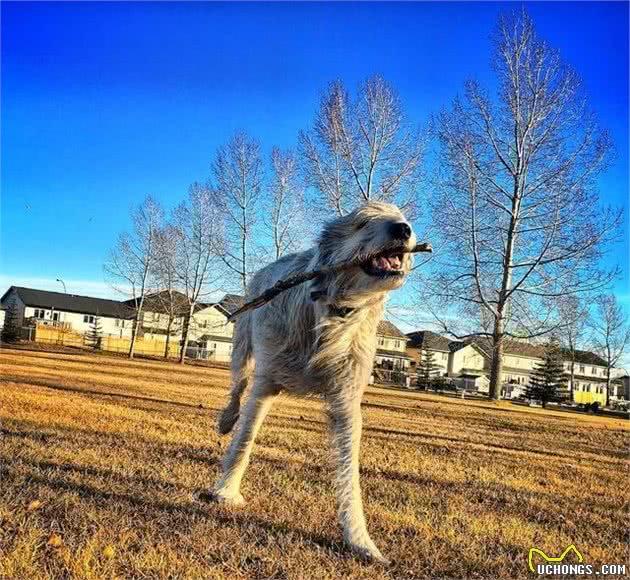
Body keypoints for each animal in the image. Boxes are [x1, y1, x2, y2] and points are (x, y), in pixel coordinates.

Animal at [215, 203, 418, 560]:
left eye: (403, 218)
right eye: (363, 223)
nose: (403, 229)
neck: (333, 312)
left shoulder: (346, 401)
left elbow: (349, 472)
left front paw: (360, 539)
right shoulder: (265, 384)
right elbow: (244, 440)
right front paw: (227, 490)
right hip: (242, 347)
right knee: (237, 385)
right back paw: (226, 420)